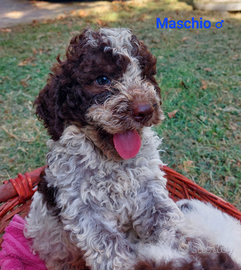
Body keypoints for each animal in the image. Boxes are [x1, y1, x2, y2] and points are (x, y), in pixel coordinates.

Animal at [25, 28, 183, 270]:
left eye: (144, 76)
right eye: (102, 79)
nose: (145, 110)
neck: (110, 161)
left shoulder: (148, 188)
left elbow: (166, 217)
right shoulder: (85, 208)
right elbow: (110, 247)